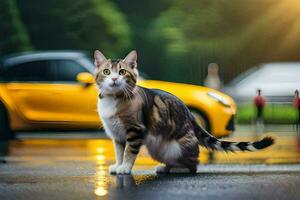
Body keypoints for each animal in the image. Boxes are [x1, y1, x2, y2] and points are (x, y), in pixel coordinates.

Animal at [94, 50, 274, 175]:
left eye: (122, 72)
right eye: (106, 72)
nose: (114, 79)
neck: (113, 99)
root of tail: (191, 116)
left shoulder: (135, 130)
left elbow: (129, 152)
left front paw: (125, 168)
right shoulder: (117, 135)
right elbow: (119, 152)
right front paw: (118, 166)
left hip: (175, 147)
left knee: (193, 165)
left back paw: (178, 169)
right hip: (157, 149)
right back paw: (165, 168)